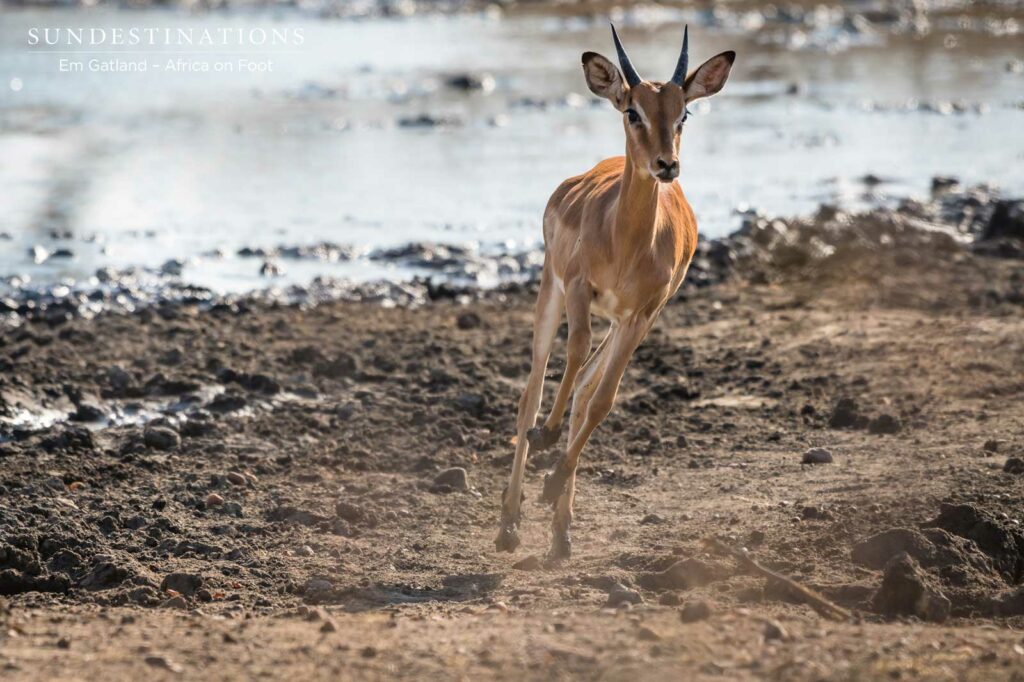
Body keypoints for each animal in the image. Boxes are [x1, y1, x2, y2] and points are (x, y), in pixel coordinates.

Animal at [495, 25, 735, 561]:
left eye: (683, 112)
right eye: (633, 111)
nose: (667, 165)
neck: (627, 244)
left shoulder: (642, 314)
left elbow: (602, 400)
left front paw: (554, 483)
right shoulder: (580, 288)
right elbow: (572, 357)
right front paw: (547, 439)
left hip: (619, 321)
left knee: (586, 387)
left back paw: (560, 532)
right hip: (551, 292)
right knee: (532, 391)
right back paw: (510, 523)